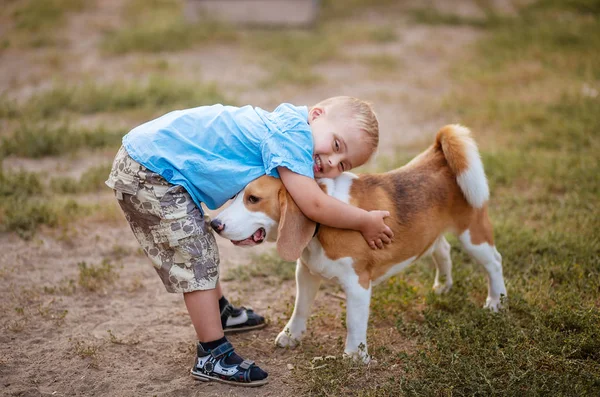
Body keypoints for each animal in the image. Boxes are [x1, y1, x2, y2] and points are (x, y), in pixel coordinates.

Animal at [211, 125, 506, 360]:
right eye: (235, 195)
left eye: (253, 199)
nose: (214, 224)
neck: (324, 220)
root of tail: (439, 156)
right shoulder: (306, 273)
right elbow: (300, 309)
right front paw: (291, 336)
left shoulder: (357, 285)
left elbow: (354, 324)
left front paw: (354, 357)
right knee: (442, 249)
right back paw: (443, 285)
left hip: (473, 235)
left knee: (494, 262)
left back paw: (496, 302)